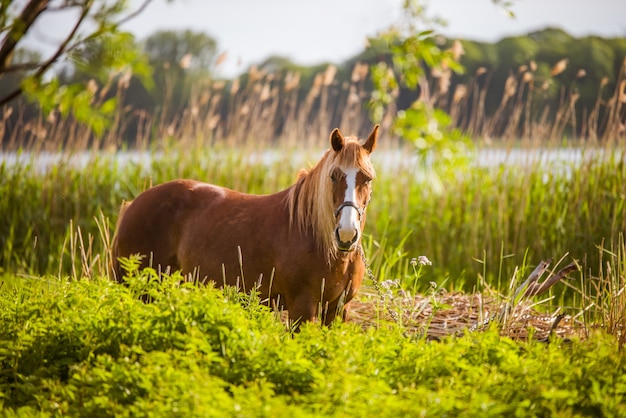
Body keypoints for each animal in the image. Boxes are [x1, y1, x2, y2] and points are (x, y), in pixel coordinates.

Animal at [109, 125, 378, 326]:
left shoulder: (338, 310)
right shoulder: (302, 308)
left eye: (367, 178)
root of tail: (131, 206)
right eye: (334, 176)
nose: (346, 234)